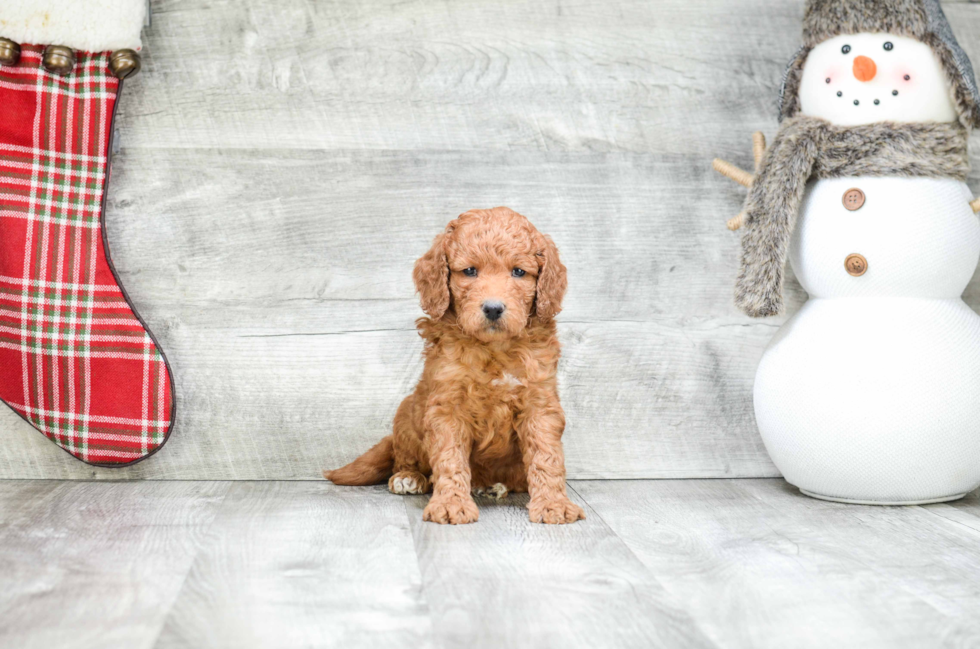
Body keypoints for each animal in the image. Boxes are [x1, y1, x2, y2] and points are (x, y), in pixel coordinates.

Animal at [326, 210, 584, 524]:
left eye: (519, 272)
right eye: (470, 271)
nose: (493, 308)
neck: (493, 348)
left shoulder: (539, 403)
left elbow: (546, 457)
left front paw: (553, 504)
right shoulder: (447, 405)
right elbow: (450, 459)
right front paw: (450, 504)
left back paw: (493, 486)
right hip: (406, 413)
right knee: (405, 458)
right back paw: (408, 478)